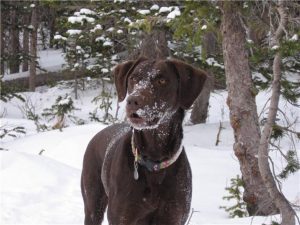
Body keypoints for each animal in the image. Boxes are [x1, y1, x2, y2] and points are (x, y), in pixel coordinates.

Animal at [81, 57, 207, 224]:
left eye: (162, 80)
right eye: (133, 78)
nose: (132, 101)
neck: (155, 160)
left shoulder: (174, 217)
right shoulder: (122, 217)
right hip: (93, 205)